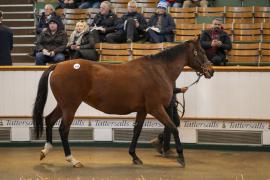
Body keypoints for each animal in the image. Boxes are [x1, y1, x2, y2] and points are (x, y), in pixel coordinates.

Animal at [32, 38, 213, 169]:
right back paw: (72, 160)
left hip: (63, 105)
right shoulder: (156, 108)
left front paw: (134, 156)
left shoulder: (143, 110)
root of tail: (58, 66)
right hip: (70, 107)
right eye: (202, 52)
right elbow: (173, 128)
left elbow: (137, 131)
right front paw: (181, 158)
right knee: (63, 130)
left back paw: (45, 150)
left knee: (49, 120)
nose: (211, 71)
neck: (158, 71)